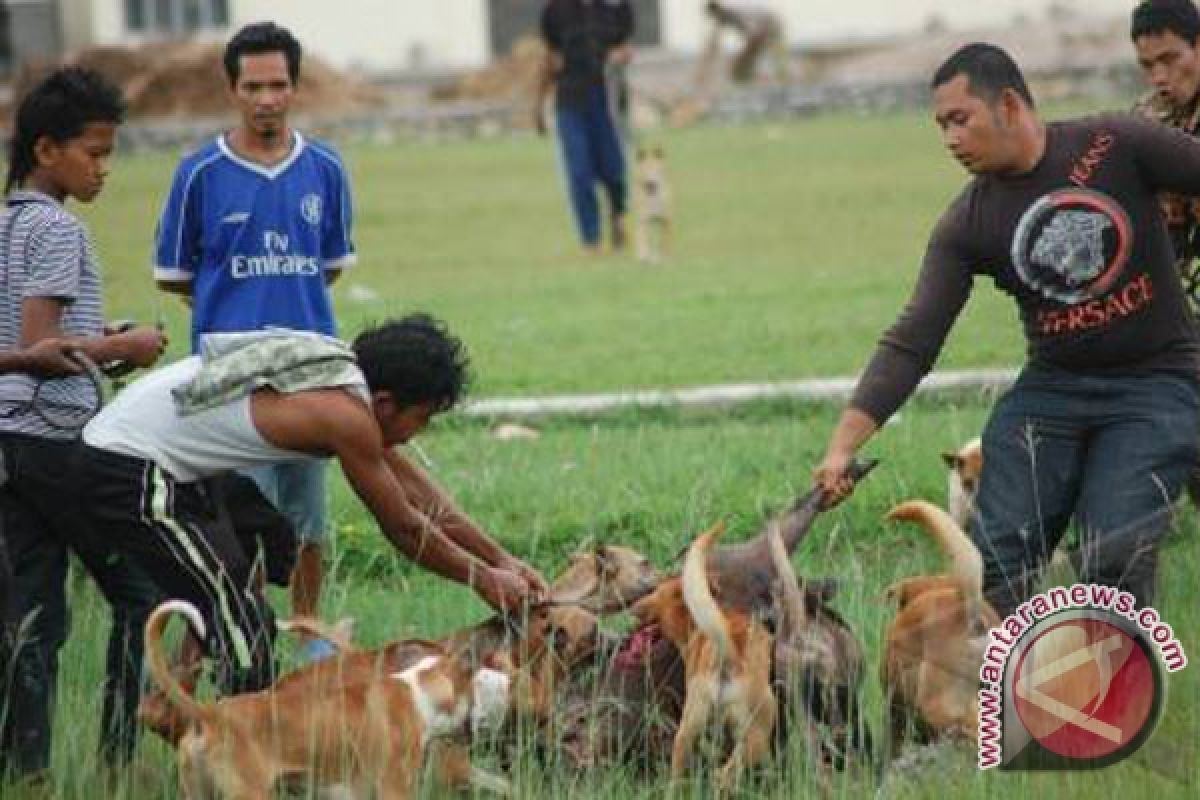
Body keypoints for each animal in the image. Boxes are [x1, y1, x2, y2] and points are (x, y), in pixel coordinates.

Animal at [628, 522, 777, 791]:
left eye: (655, 592)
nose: (632, 605)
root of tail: (728, 654)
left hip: (687, 733)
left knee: (680, 776)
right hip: (756, 737)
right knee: (724, 776)